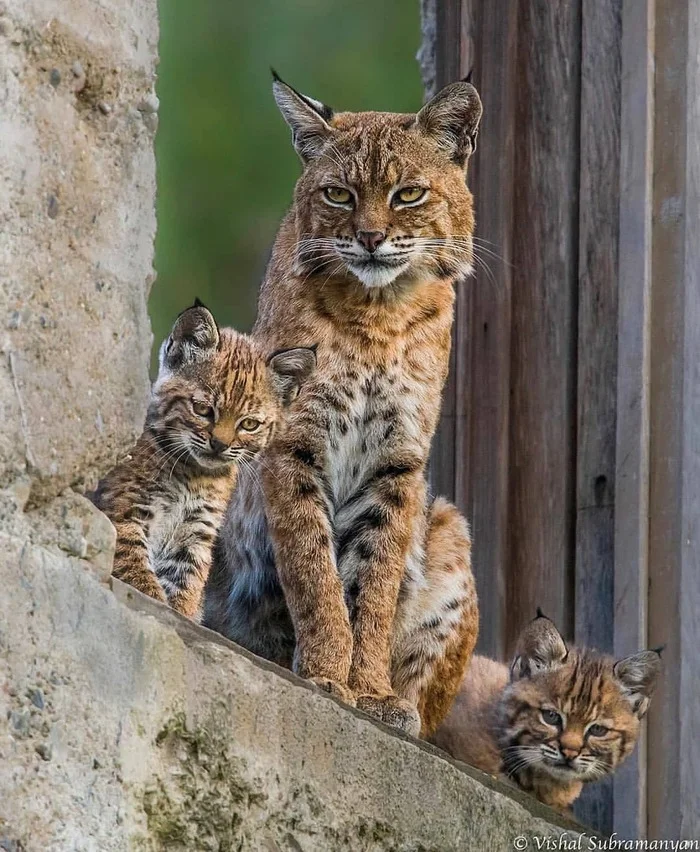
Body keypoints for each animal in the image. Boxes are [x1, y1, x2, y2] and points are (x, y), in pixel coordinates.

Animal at [92, 302, 314, 624]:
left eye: (249, 424)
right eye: (202, 409)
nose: (220, 445)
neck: (193, 473)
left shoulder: (196, 532)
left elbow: (187, 585)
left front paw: (182, 614)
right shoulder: (126, 511)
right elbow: (137, 572)